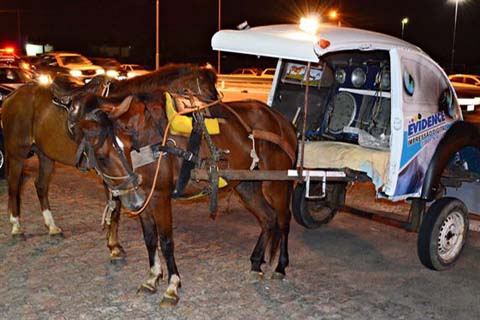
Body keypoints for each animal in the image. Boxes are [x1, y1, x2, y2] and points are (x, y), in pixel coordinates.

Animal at [0, 64, 218, 260]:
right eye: (208, 94)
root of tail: (11, 96)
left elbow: (116, 208)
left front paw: (114, 245)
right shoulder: (111, 172)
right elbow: (115, 209)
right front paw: (114, 247)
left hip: (46, 154)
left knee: (41, 186)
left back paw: (52, 227)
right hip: (17, 152)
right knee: (13, 185)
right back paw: (16, 226)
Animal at [76, 88, 296, 308]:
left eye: (129, 146)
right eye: (103, 158)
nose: (134, 201)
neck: (153, 142)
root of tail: (283, 122)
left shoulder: (160, 196)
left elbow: (166, 242)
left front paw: (172, 286)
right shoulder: (146, 197)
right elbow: (150, 239)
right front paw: (152, 278)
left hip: (277, 184)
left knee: (283, 220)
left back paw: (280, 266)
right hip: (246, 184)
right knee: (268, 218)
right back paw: (256, 263)